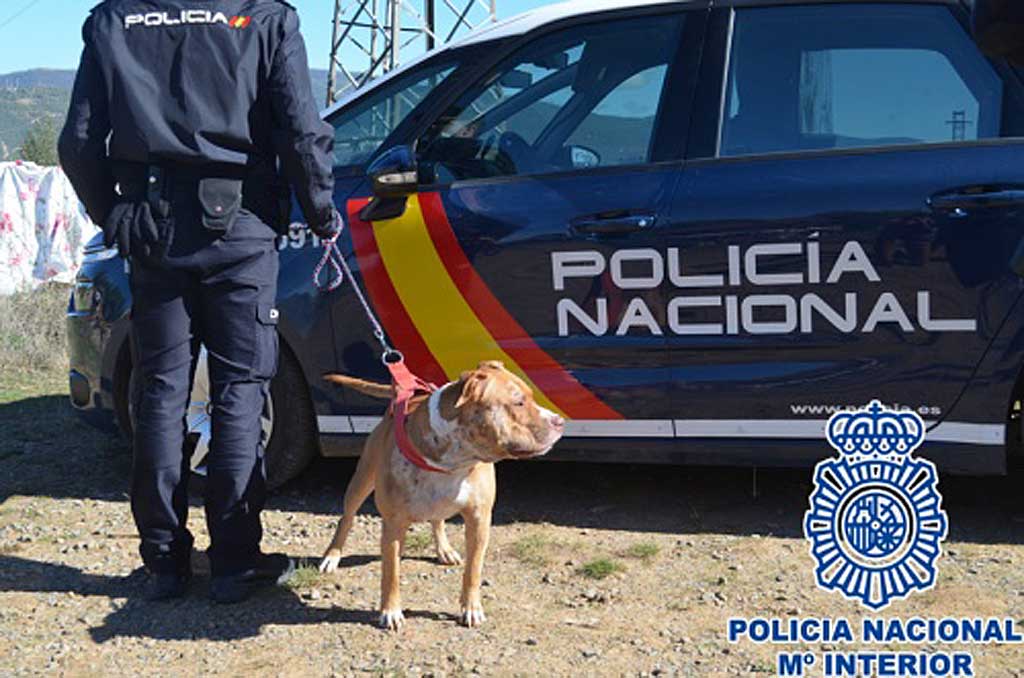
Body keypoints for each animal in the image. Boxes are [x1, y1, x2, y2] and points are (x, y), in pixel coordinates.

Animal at [317, 360, 565, 630]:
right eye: (519, 402)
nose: (560, 421)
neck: (453, 462)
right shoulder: (393, 524)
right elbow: (391, 572)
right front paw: (391, 611)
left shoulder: (479, 520)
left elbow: (473, 570)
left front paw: (471, 608)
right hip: (362, 480)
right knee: (347, 518)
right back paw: (332, 556)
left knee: (437, 520)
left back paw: (444, 549)